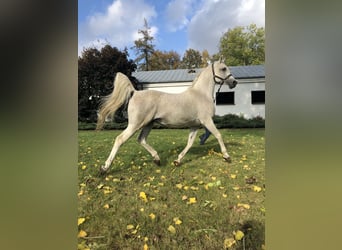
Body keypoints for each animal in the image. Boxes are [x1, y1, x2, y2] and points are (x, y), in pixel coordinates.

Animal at [96, 57, 238, 173]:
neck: (201, 94)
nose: (234, 82)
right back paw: (104, 168)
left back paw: (157, 159)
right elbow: (218, 135)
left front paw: (178, 161)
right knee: (120, 139)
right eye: (223, 68)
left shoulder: (195, 125)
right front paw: (227, 156)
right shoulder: (207, 121)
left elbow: (190, 143)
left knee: (141, 139)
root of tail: (135, 92)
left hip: (148, 124)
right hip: (135, 124)